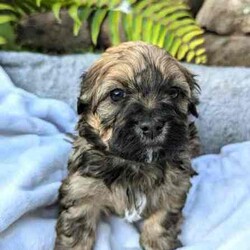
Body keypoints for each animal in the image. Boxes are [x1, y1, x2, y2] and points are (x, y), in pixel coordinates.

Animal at [54, 41, 199, 250]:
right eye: (117, 94)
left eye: (174, 92)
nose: (153, 125)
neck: (135, 164)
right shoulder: (81, 189)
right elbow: (76, 228)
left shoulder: (175, 186)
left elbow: (164, 217)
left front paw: (157, 241)